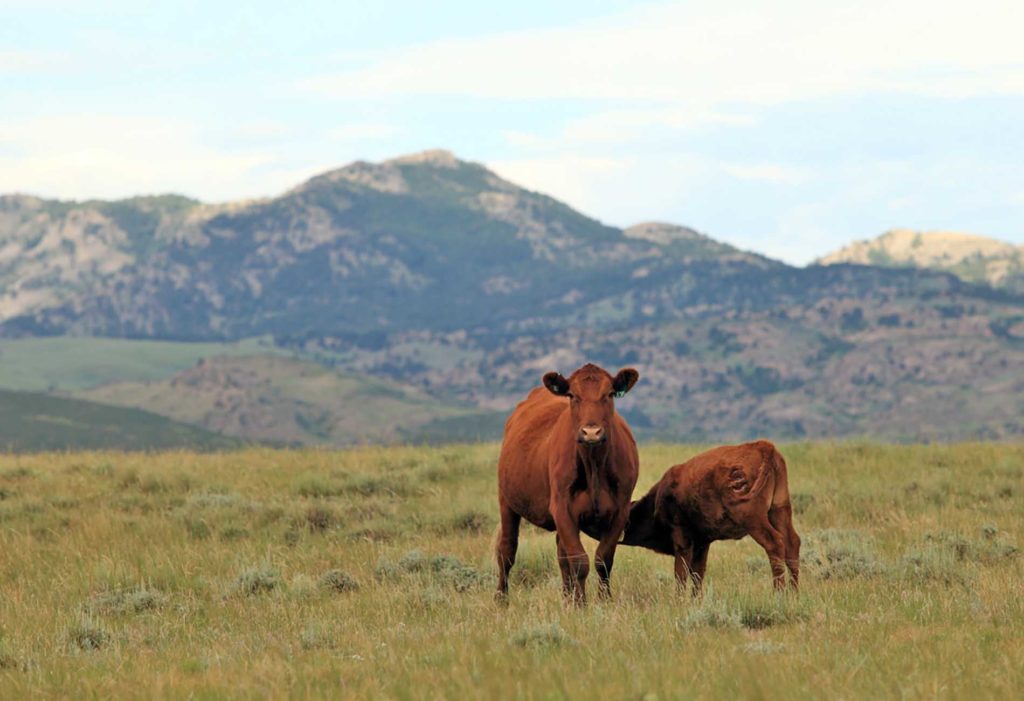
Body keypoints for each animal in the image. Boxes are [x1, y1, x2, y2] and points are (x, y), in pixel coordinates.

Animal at [495, 364, 638, 605]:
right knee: (506, 550)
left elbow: (603, 559)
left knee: (562, 557)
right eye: (572, 395)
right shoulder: (562, 507)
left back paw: (565, 597)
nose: (591, 432)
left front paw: (603, 600)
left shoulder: (620, 510)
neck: (594, 466)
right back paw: (501, 599)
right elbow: (579, 561)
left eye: (609, 394)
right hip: (507, 502)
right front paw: (581, 604)